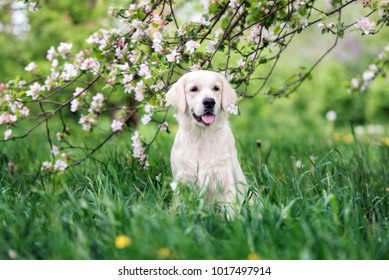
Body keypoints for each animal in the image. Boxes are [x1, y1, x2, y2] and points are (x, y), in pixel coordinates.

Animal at [165, 70, 247, 219]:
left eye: (216, 88)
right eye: (193, 89)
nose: (209, 102)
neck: (202, 137)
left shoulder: (225, 181)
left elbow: (230, 212)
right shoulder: (183, 181)